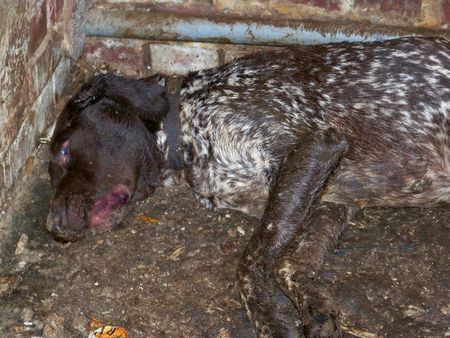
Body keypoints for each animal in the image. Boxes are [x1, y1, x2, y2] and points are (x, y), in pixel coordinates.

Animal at [47, 36, 448, 336]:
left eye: (64, 151)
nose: (53, 226)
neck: (185, 128)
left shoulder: (316, 144)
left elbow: (249, 262)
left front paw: (269, 320)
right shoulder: (332, 199)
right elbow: (288, 264)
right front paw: (315, 309)